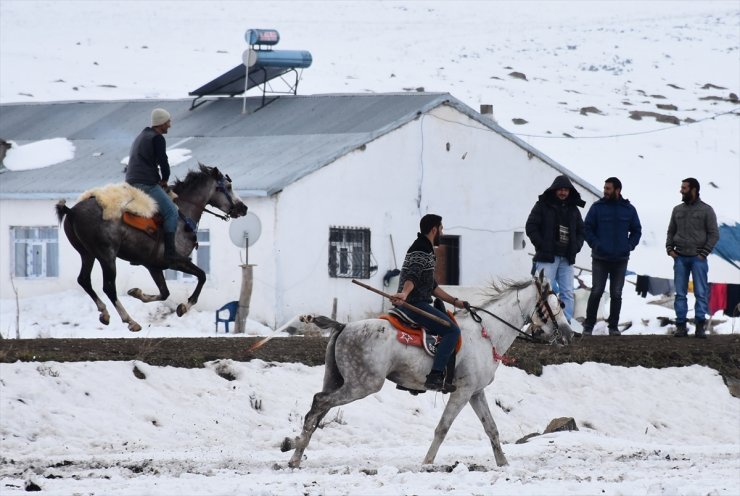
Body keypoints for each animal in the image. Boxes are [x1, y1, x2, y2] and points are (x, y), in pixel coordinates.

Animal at [55, 164, 246, 334]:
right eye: (228, 187)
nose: (243, 208)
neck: (182, 216)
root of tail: (72, 211)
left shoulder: (154, 266)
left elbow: (165, 293)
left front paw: (137, 293)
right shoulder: (176, 262)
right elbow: (202, 276)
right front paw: (185, 306)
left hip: (87, 254)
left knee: (84, 280)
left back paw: (104, 313)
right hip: (106, 256)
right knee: (108, 287)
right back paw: (130, 321)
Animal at [286, 272, 576, 468]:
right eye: (557, 304)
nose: (569, 334)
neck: (487, 333)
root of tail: (344, 326)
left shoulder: (476, 392)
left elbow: (491, 428)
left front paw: (503, 463)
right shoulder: (462, 392)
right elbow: (443, 427)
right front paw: (427, 461)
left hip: (337, 380)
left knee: (318, 409)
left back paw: (297, 453)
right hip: (362, 384)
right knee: (319, 403)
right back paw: (296, 452)